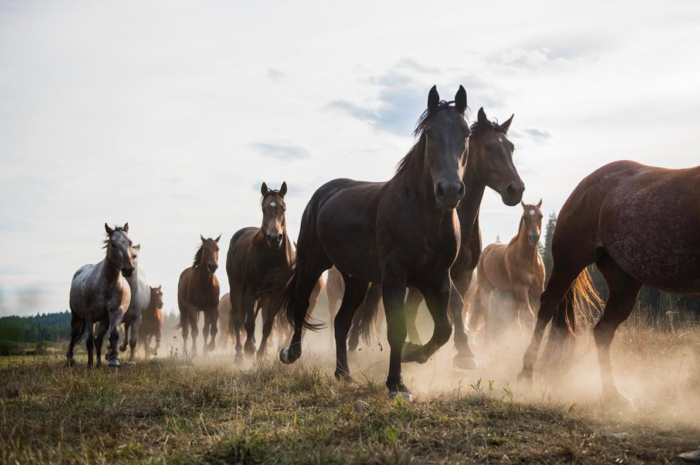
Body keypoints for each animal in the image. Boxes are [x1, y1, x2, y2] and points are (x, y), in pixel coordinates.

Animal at [67, 223, 136, 368]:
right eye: (113, 244)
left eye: (130, 242)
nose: (128, 269)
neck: (106, 284)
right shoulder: (89, 316)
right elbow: (89, 341)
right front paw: (89, 365)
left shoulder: (115, 313)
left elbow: (113, 335)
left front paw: (114, 361)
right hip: (77, 316)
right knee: (74, 335)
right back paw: (70, 360)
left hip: (103, 320)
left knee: (98, 340)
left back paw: (98, 364)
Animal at [278, 86, 482, 398]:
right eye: (429, 133)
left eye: (466, 133)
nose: (449, 190)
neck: (421, 215)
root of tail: (323, 194)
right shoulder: (395, 277)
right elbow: (397, 328)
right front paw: (397, 384)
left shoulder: (436, 280)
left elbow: (444, 330)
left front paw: (413, 354)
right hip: (312, 264)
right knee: (301, 305)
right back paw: (291, 353)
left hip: (356, 279)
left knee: (341, 322)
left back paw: (343, 373)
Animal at [352, 107, 524, 368]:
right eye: (488, 147)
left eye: (511, 147)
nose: (516, 189)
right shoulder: (444, 272)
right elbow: (456, 304)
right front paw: (465, 354)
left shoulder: (462, 274)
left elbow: (456, 308)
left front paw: (458, 349)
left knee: (409, 309)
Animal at [470, 199, 548, 334]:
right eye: (525, 217)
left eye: (541, 216)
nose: (534, 237)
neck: (529, 261)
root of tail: (485, 251)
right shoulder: (521, 288)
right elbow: (529, 315)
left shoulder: (538, 288)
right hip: (486, 289)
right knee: (486, 314)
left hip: (511, 293)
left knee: (514, 317)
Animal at [516, 160, 700, 410]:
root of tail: (583, 186)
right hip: (569, 263)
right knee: (547, 306)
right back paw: (527, 372)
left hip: (624, 284)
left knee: (602, 331)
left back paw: (612, 394)